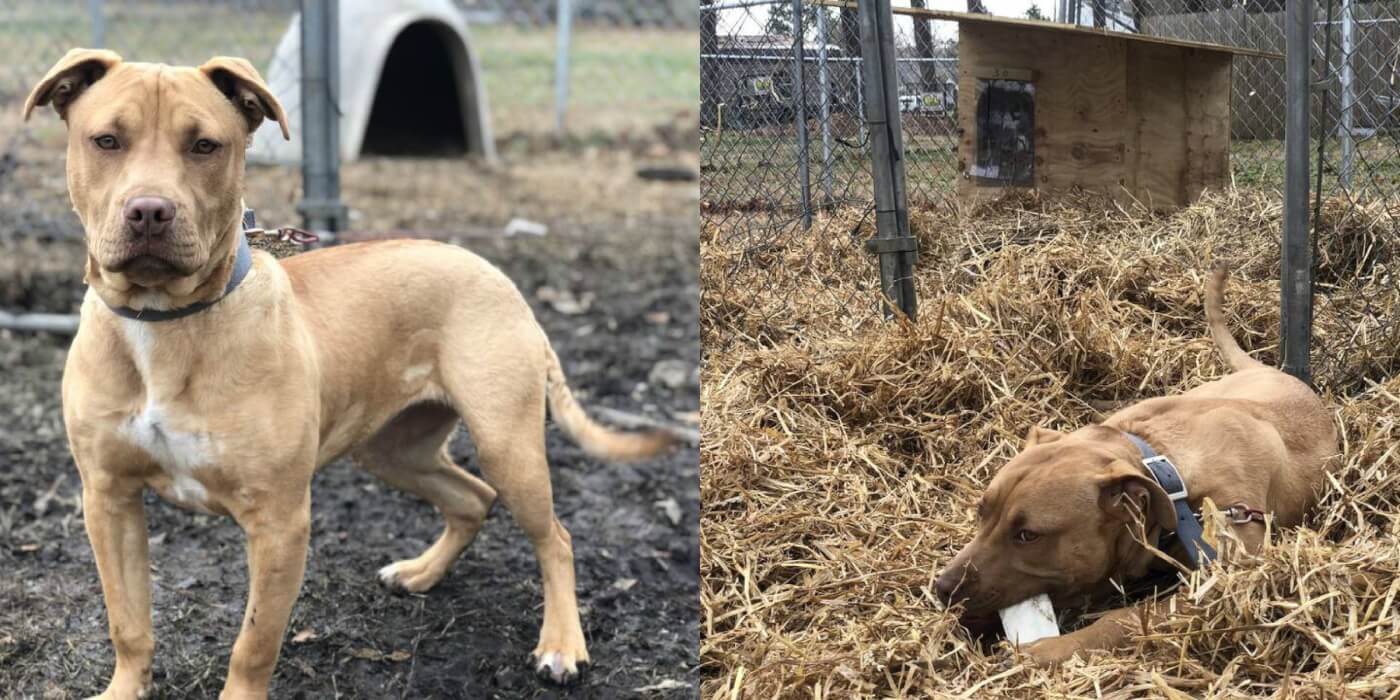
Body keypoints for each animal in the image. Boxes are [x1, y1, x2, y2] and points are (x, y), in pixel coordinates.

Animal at [24, 47, 674, 694]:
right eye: (106, 140)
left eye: (205, 145)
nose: (150, 210)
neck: (165, 320)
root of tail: (492, 271)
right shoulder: (108, 498)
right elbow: (127, 621)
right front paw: (124, 687)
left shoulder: (280, 522)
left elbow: (254, 643)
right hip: (391, 448)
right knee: (471, 499)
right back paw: (420, 572)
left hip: (506, 443)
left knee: (554, 537)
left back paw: (561, 644)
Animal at [935, 266, 1338, 666]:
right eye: (981, 511)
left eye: (1027, 535)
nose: (941, 587)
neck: (1167, 473)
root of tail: (1279, 373)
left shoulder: (1224, 581)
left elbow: (1125, 617)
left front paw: (1053, 648)